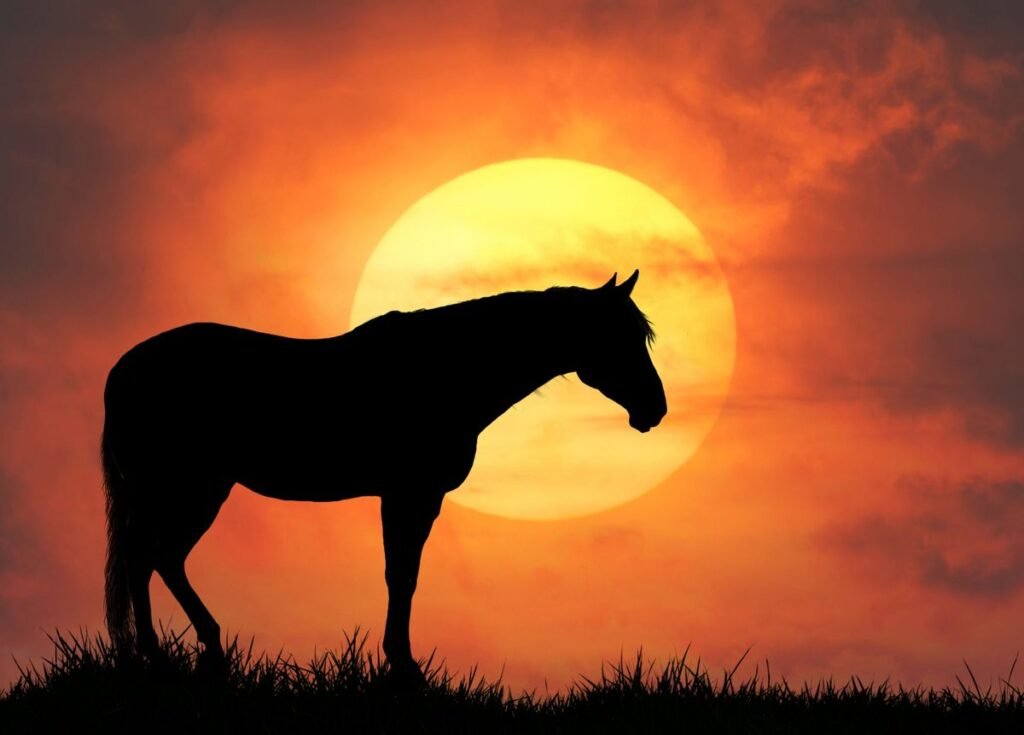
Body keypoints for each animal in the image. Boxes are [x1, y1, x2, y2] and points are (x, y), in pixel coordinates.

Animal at [101, 270, 667, 683]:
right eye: (620, 336)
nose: (655, 409)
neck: (450, 371)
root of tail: (125, 368)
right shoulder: (408, 494)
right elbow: (402, 575)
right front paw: (404, 667)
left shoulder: (414, 497)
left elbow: (405, 576)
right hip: (187, 487)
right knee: (146, 556)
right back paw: (162, 654)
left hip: (194, 489)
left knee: (156, 558)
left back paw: (189, 651)